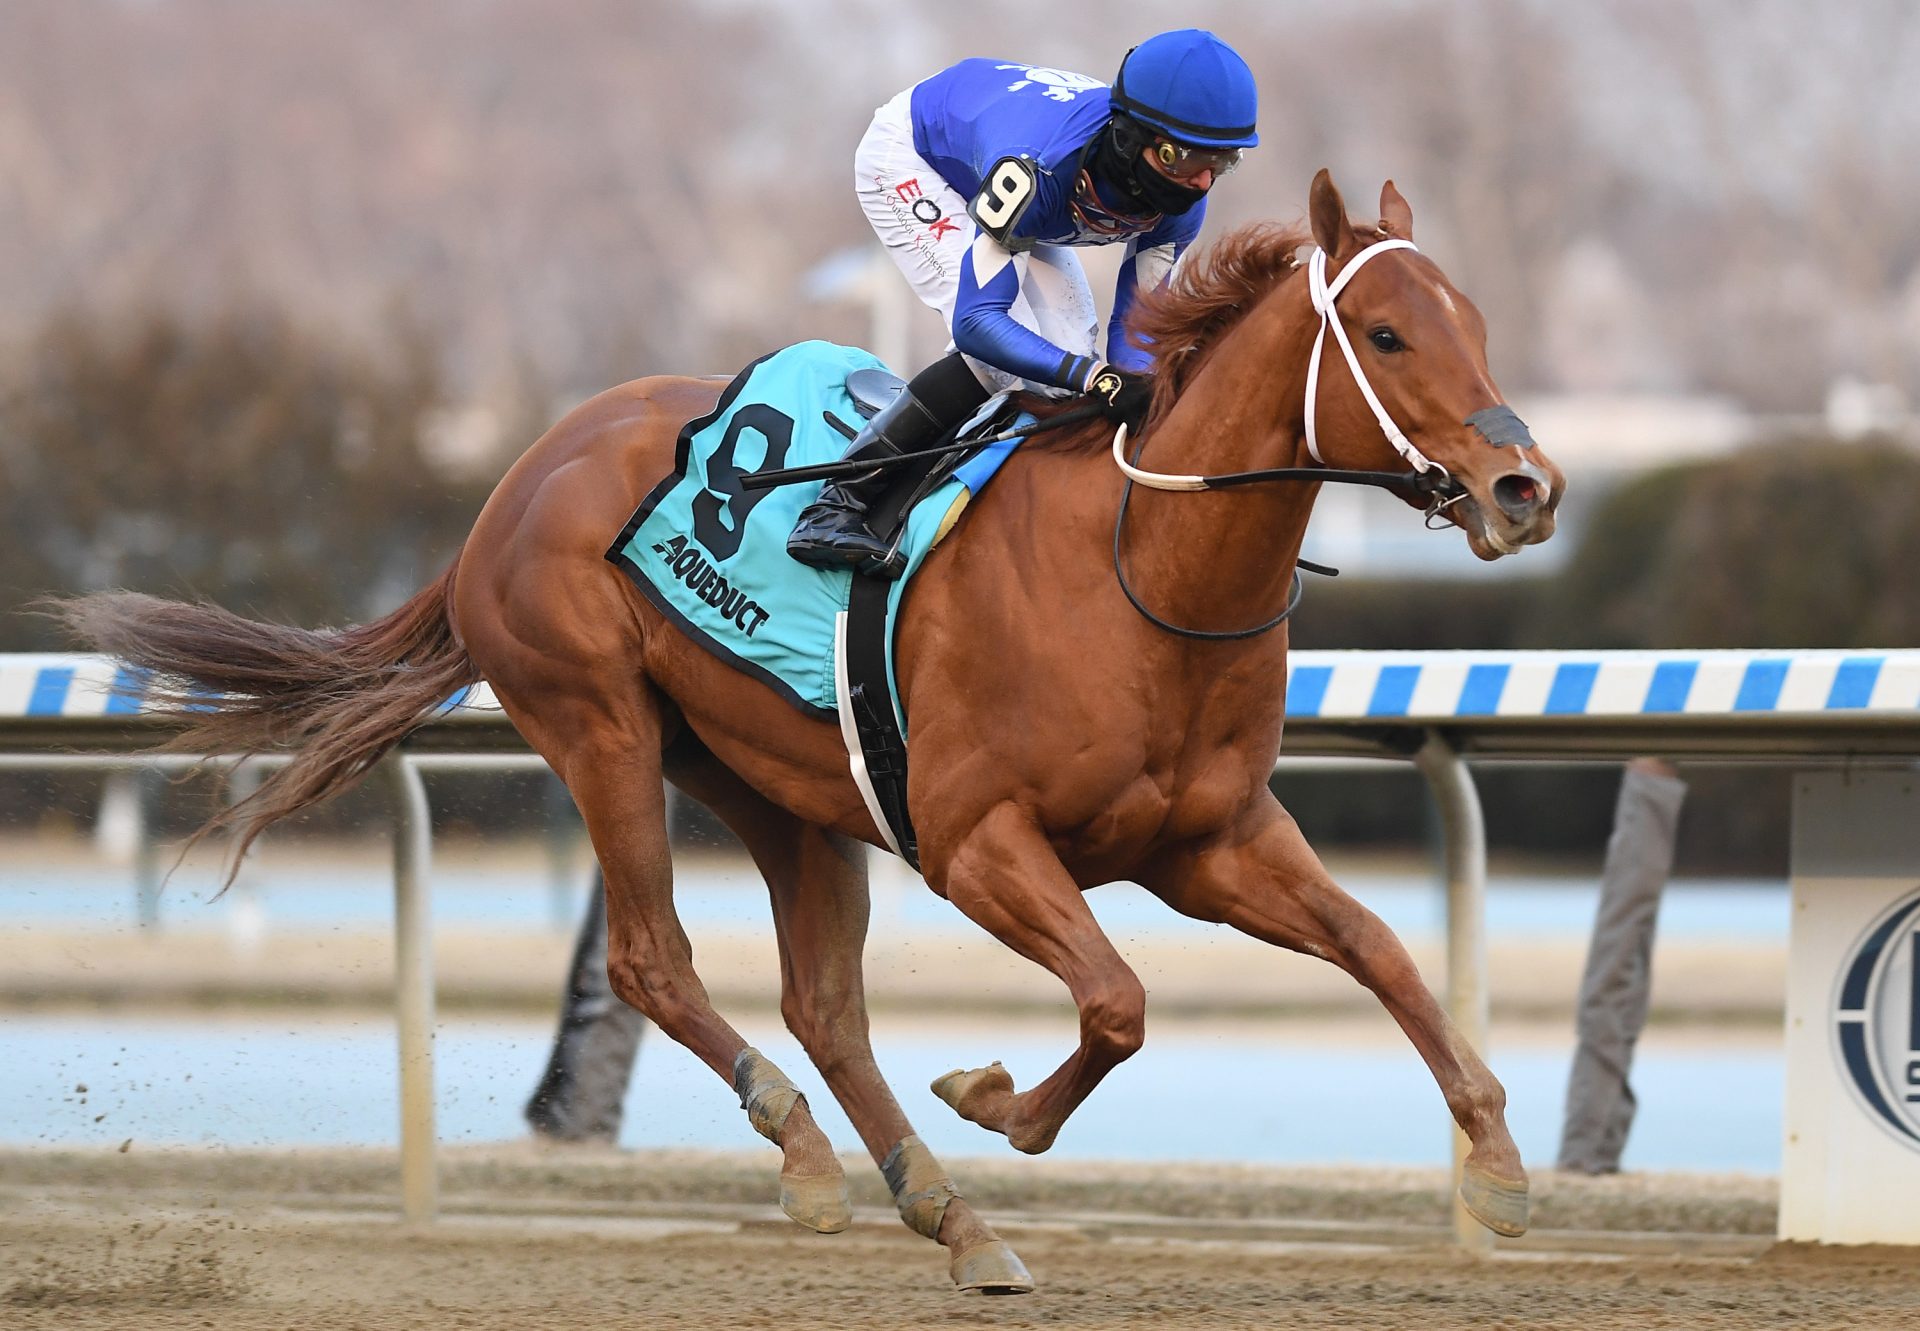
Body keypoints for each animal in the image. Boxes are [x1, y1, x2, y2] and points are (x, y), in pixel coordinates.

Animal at [67, 170, 1559, 1290]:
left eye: (1479, 319)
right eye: (1386, 336)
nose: (1524, 484)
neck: (1145, 568)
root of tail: (521, 473)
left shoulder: (1211, 840)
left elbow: (1375, 946)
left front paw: (1498, 1164)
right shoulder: (975, 839)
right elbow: (1118, 1000)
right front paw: (995, 1097)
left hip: (774, 782)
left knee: (824, 1003)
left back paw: (948, 1213)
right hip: (599, 722)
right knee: (655, 958)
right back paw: (809, 1151)